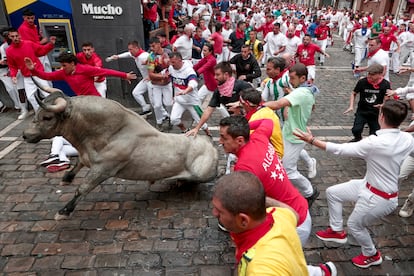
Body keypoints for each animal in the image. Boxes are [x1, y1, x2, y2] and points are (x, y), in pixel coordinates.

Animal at [21, 86, 220, 220]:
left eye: (47, 117)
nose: (25, 135)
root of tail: (210, 145)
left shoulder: (103, 169)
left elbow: (82, 188)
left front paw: (64, 211)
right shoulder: (87, 159)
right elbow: (78, 164)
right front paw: (67, 177)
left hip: (200, 173)